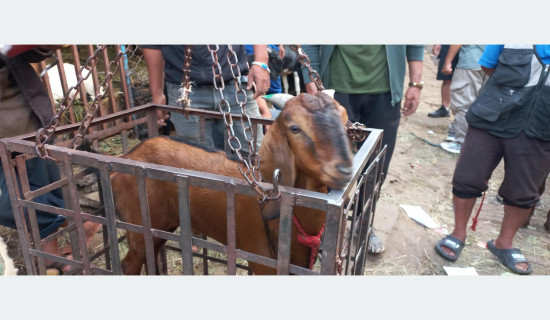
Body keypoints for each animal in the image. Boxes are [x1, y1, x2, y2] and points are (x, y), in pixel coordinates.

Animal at [111, 92, 354, 276]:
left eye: (345, 122)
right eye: (295, 128)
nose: (344, 169)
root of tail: (127, 157)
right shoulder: (263, 261)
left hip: (161, 226)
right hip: (138, 223)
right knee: (129, 264)